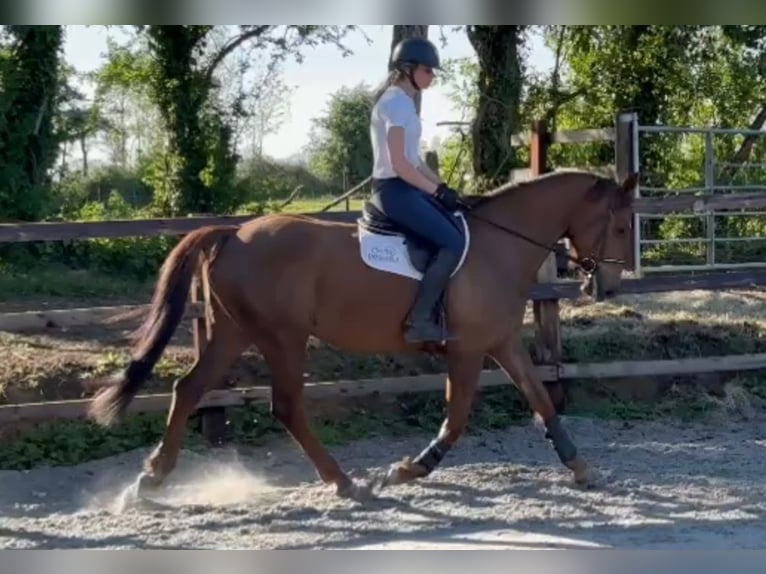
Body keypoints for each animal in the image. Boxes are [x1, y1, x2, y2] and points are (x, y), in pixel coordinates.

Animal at [84, 168, 640, 504]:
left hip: (233, 333)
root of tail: (233, 234)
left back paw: (150, 479)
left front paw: (581, 467)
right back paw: (345, 482)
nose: (608, 286)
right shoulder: (466, 350)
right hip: (282, 338)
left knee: (190, 390)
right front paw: (408, 470)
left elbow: (541, 400)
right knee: (286, 407)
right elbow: (457, 419)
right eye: (619, 227)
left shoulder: (502, 342)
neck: (499, 245)